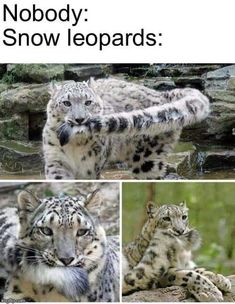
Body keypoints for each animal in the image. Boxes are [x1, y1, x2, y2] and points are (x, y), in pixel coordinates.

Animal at [42, 77, 209, 179]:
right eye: (66, 103)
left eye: (88, 102)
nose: (79, 119)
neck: (74, 144)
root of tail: (162, 94)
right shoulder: (56, 159)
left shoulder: (90, 166)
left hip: (146, 160)